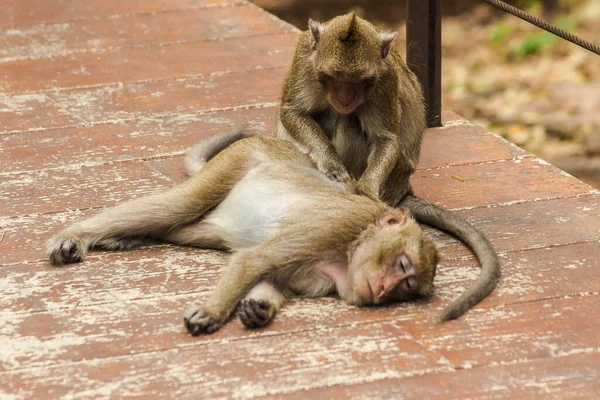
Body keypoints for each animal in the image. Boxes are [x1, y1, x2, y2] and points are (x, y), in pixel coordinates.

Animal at [47, 136, 438, 336]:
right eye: (403, 265)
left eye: (406, 288)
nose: (386, 289)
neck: (352, 247)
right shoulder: (334, 226)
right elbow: (255, 260)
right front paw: (213, 311)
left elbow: (272, 276)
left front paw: (259, 308)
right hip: (237, 160)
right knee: (180, 205)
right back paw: (76, 234)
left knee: (185, 227)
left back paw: (127, 237)